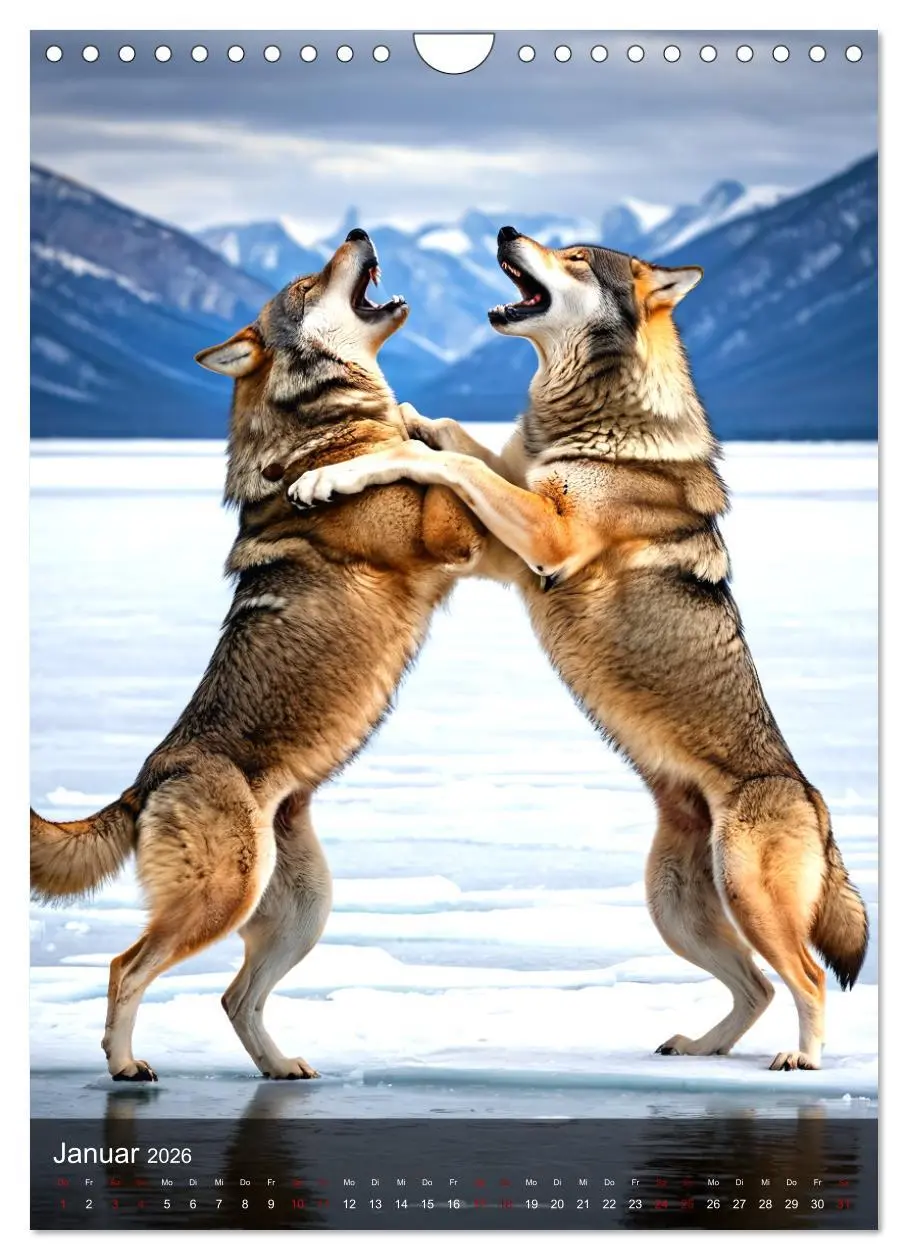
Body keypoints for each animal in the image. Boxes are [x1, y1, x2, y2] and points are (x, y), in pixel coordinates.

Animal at [30, 230, 489, 1081]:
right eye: (307, 282)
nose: (359, 232)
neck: (325, 429)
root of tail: (149, 778)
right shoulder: (447, 536)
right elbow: (438, 467)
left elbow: (430, 442)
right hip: (221, 900)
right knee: (125, 968)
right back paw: (126, 1066)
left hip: (302, 911)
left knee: (233, 997)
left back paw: (280, 1068)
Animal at [287, 225, 868, 1070]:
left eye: (576, 257)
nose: (504, 232)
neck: (588, 418)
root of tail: (814, 801)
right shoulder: (513, 541)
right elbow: (453, 439)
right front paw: (383, 428)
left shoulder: (546, 540)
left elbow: (445, 459)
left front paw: (346, 467)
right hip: (675, 906)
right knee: (757, 987)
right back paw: (699, 1046)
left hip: (749, 898)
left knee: (808, 977)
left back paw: (801, 1060)